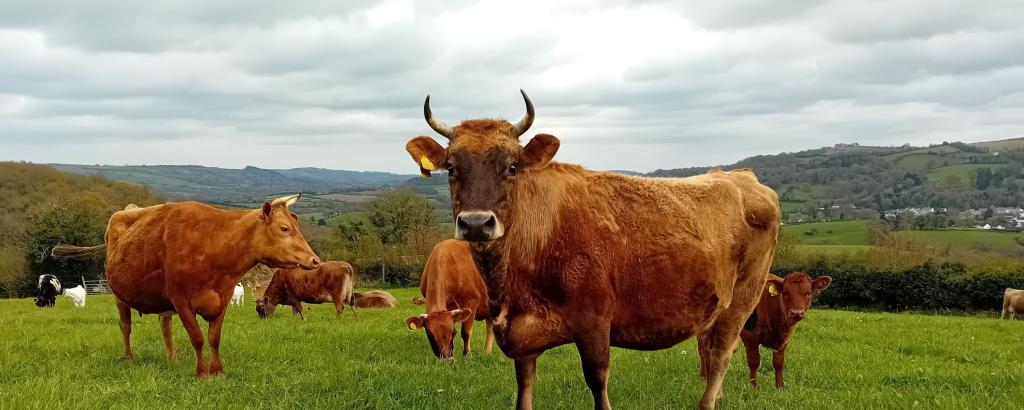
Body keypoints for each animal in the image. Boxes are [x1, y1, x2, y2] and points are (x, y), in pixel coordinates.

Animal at [50, 195, 319, 378]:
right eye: (284, 228)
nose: (315, 260)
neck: (214, 246)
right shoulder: (181, 301)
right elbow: (197, 338)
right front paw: (202, 374)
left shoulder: (222, 298)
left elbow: (214, 338)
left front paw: (218, 371)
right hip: (119, 296)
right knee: (125, 326)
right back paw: (128, 357)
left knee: (165, 328)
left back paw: (173, 360)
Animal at [404, 91, 780, 410]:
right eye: (451, 168)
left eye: (512, 167)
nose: (476, 223)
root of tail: (741, 176)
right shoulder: (521, 336)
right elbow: (523, 391)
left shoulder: (595, 323)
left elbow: (598, 382)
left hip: (744, 297)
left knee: (720, 355)